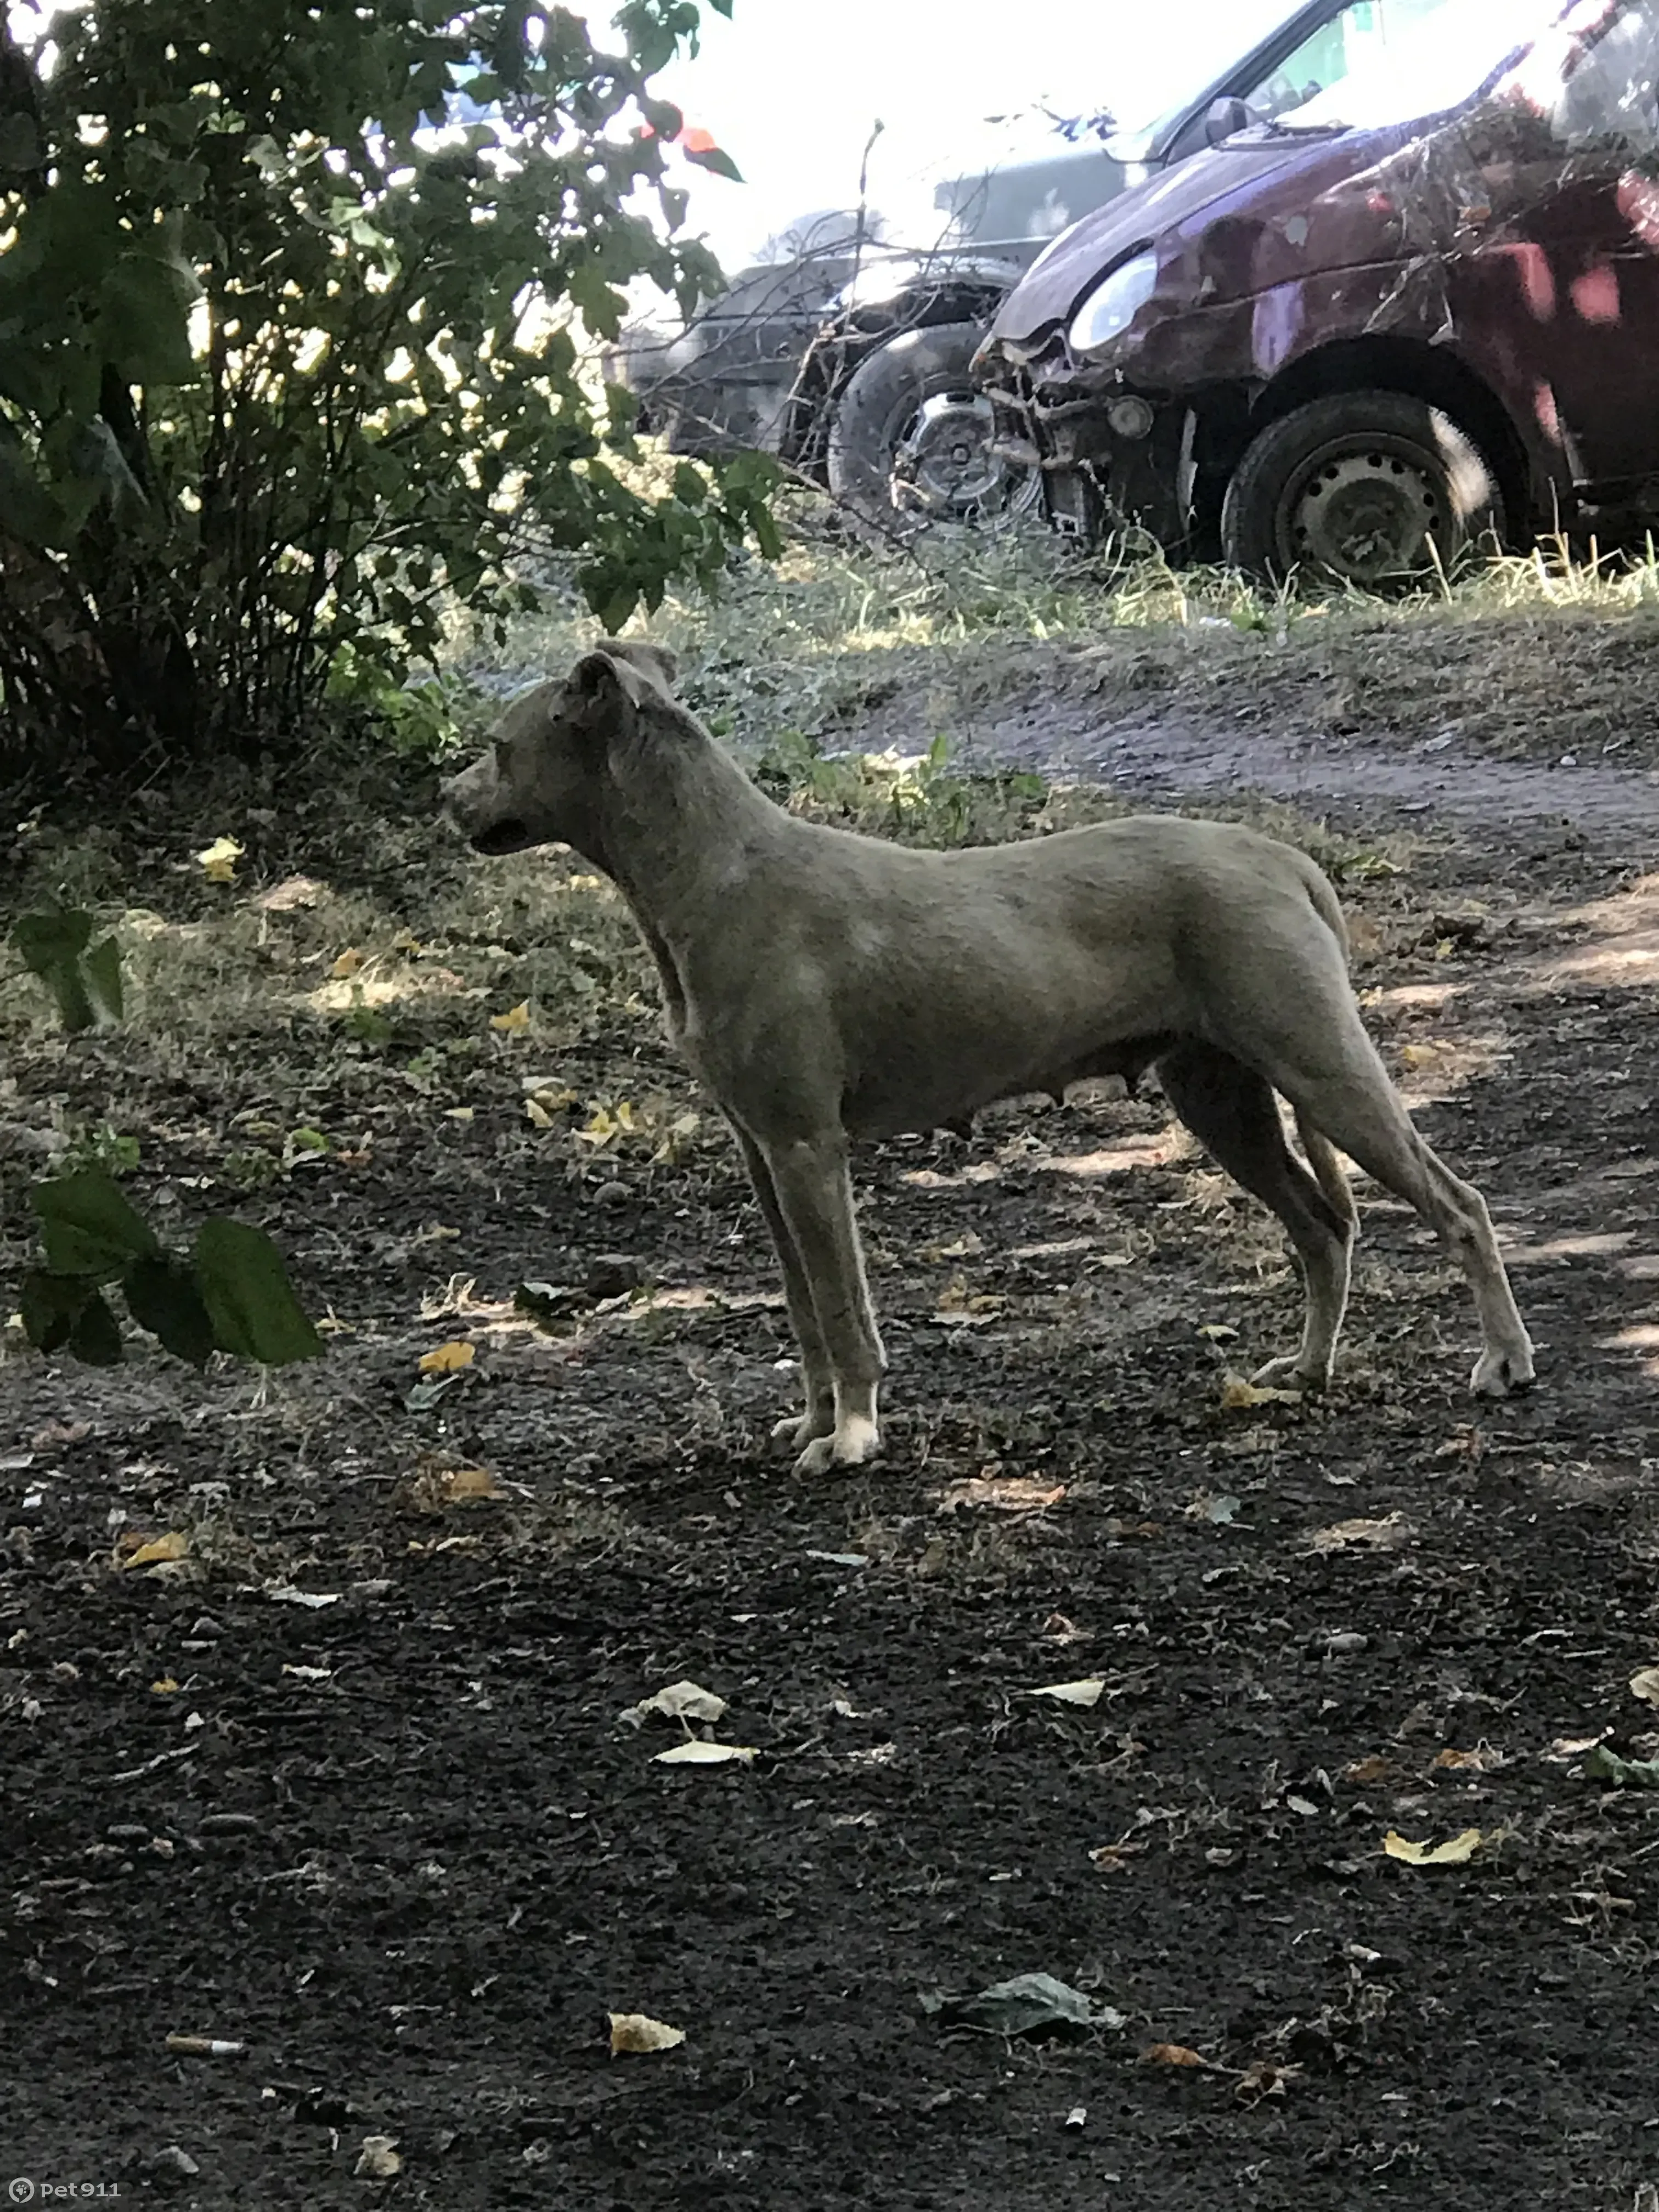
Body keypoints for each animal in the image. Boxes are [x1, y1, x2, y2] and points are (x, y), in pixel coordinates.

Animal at [442, 646, 1531, 1469]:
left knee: (1458, 1205)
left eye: (497, 747)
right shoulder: (760, 1152)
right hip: (1219, 1095)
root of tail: (1284, 858)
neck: (714, 872)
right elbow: (801, 1307)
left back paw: (1503, 1363)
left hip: (1322, 1067)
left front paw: (850, 1438)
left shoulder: (807, 1149)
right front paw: (811, 1419)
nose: (442, 798)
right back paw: (1305, 1372)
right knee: (1320, 1230)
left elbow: (842, 1309)